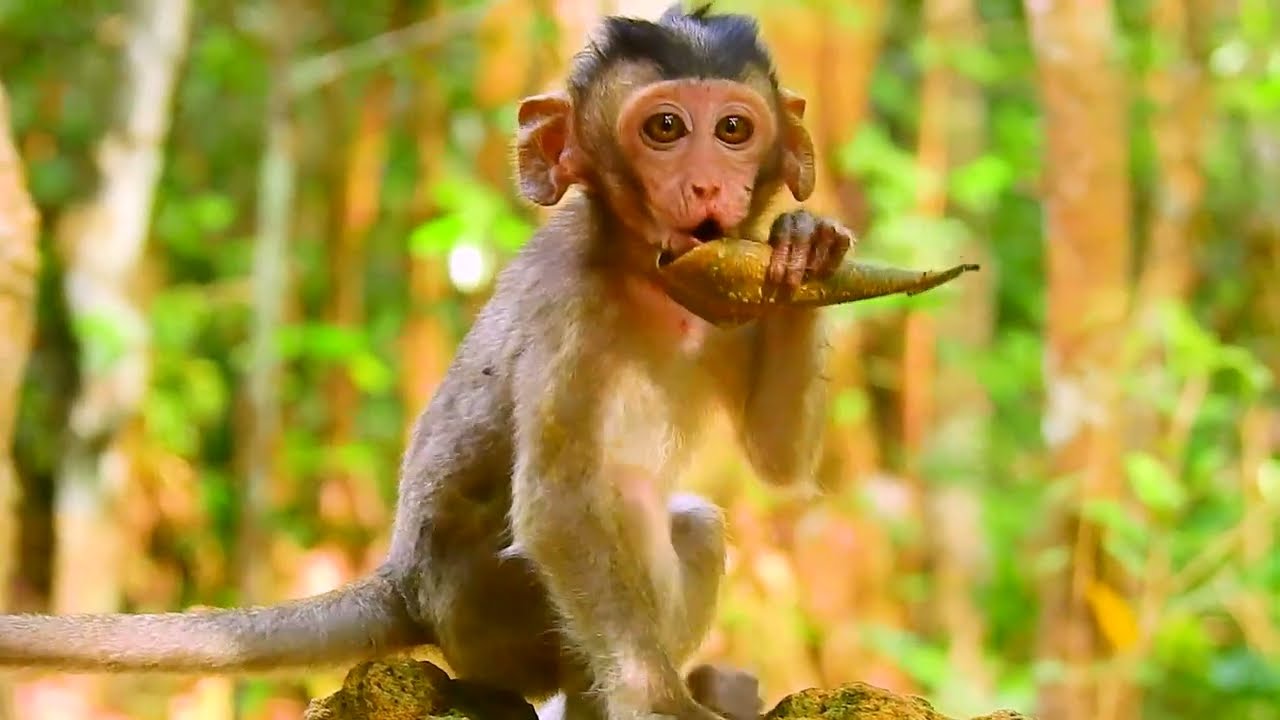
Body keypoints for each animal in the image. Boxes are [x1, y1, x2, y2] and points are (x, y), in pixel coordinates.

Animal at [0, 5, 853, 720]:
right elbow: (559, 509)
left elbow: (779, 461)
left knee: (696, 523)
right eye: (667, 127)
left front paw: (804, 245)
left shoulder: (728, 289)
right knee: (621, 509)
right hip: (489, 615)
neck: (647, 277)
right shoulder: (569, 306)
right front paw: (658, 701)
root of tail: (405, 583)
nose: (706, 182)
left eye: (734, 129)